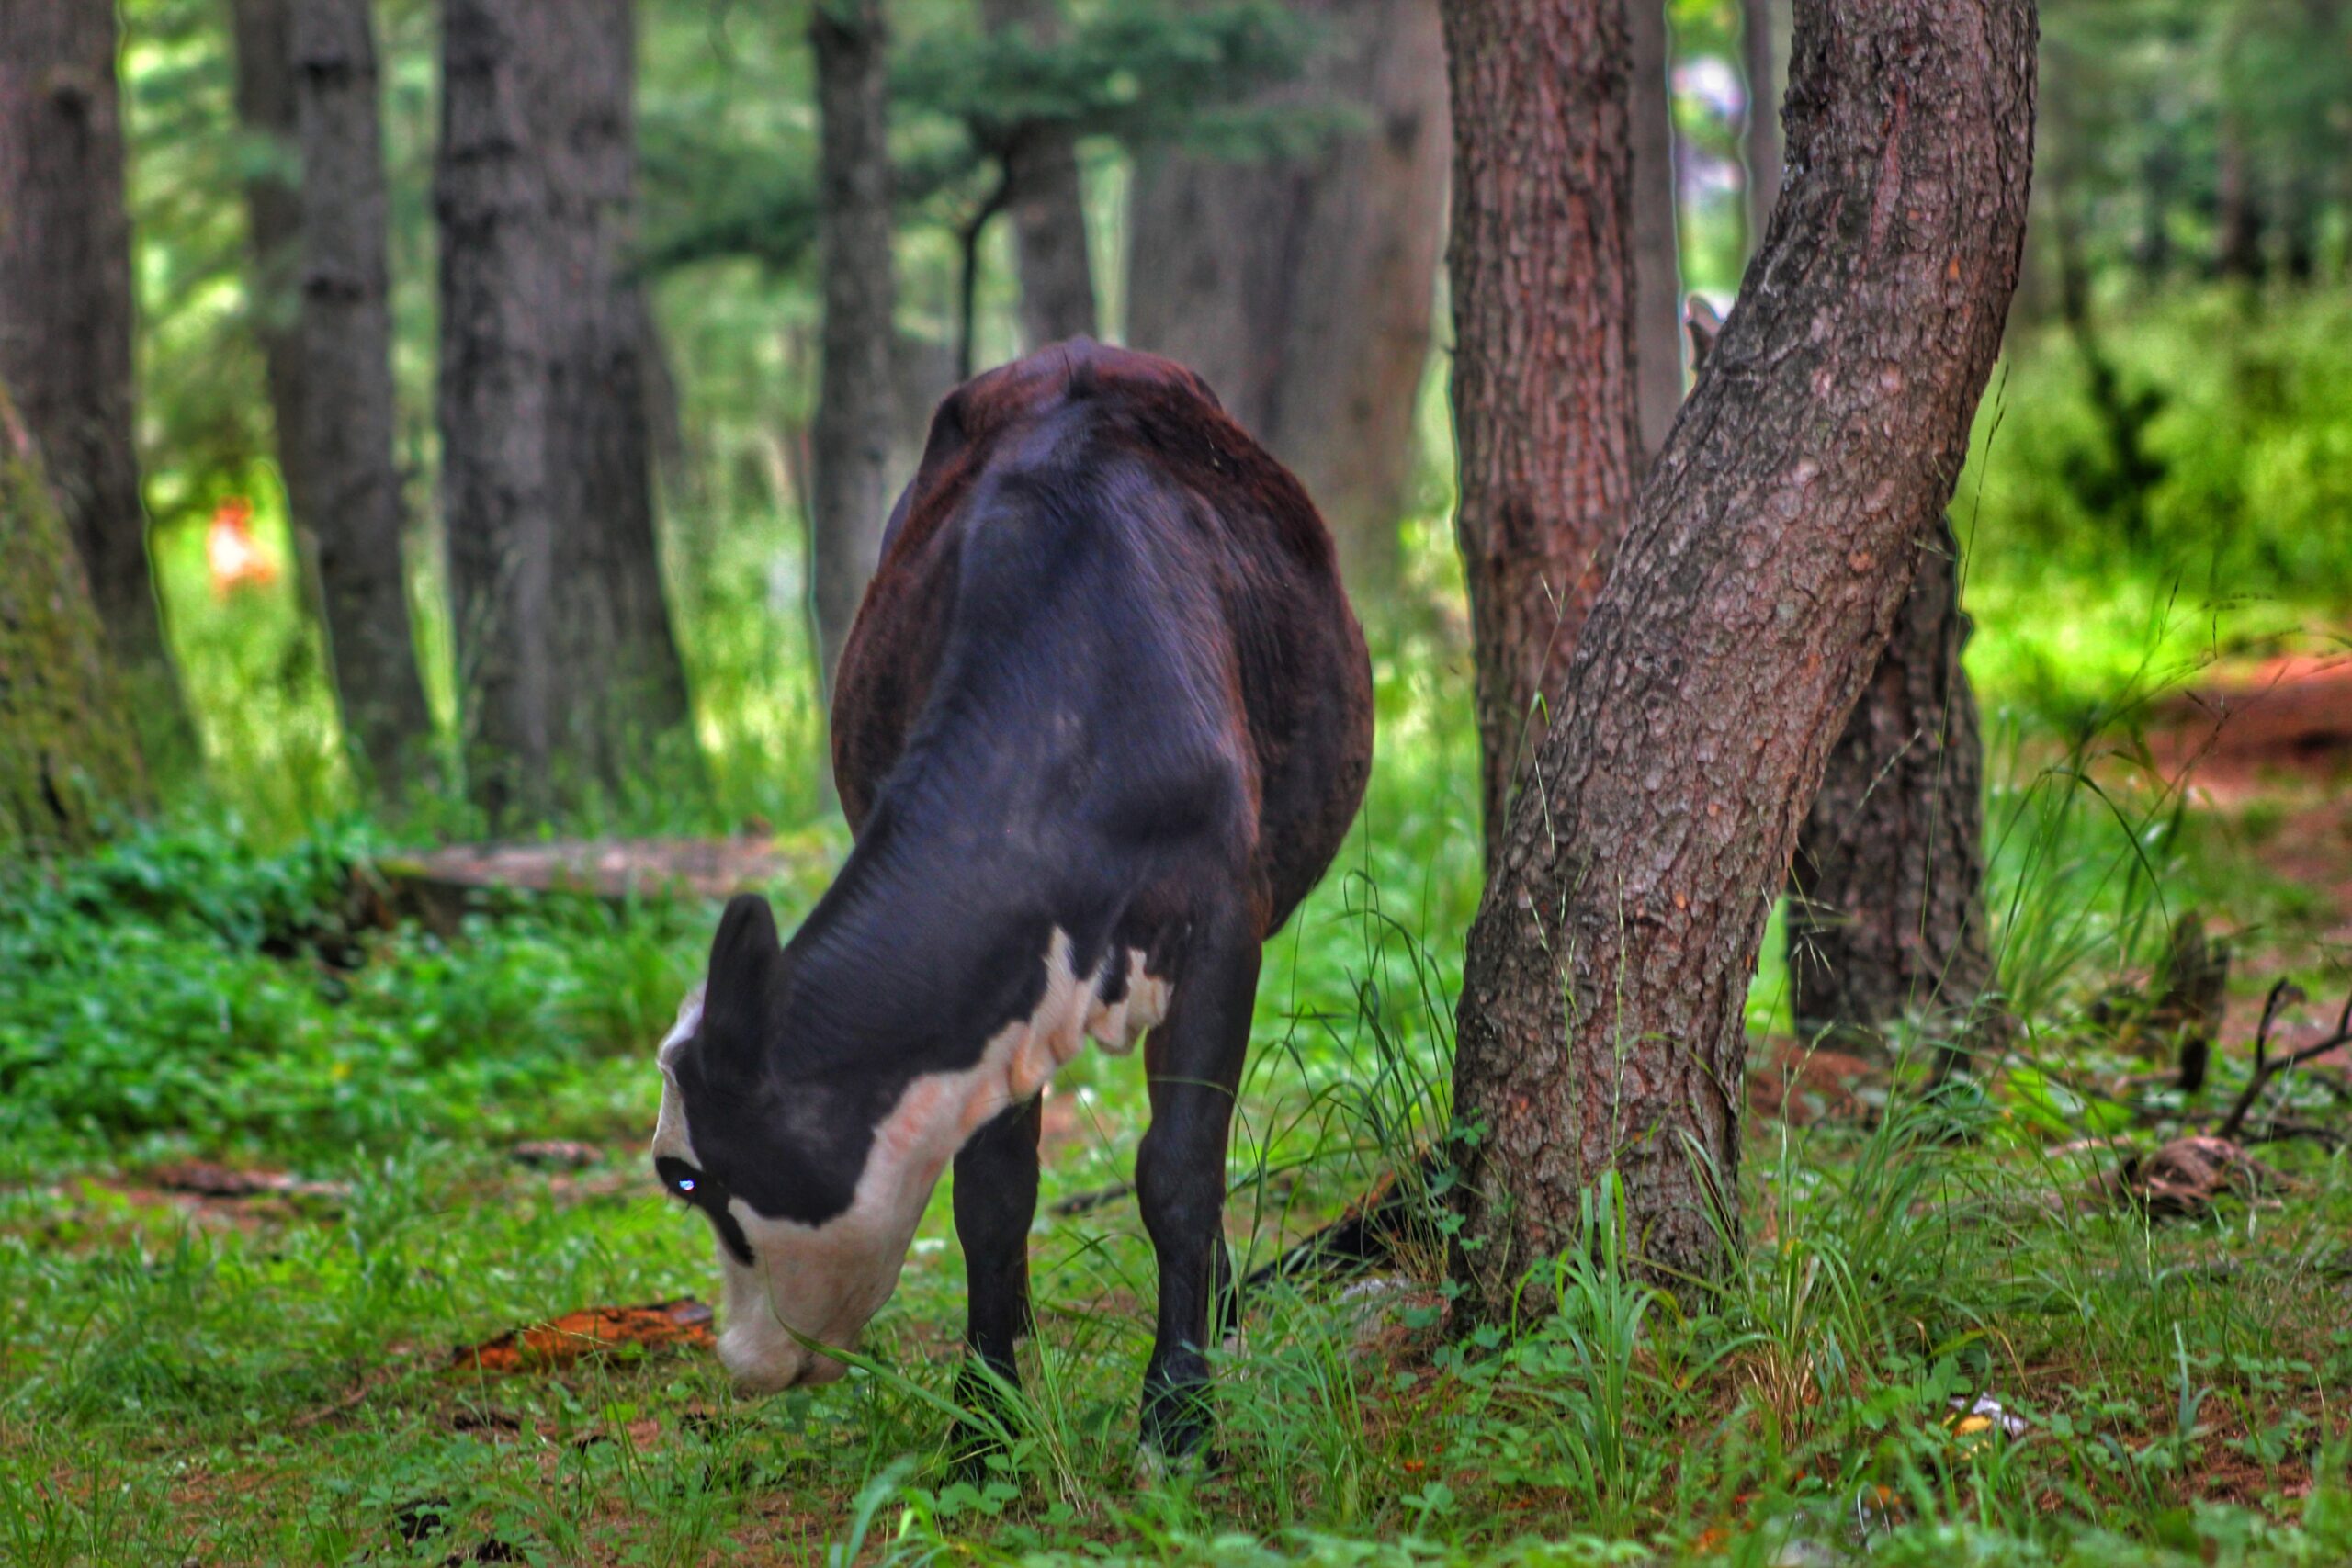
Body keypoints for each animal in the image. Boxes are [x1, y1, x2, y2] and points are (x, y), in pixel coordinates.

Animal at [649, 338, 1374, 1457]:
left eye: (681, 1174)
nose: (738, 1364)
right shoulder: (995, 996)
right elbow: (991, 1193)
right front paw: (984, 1418)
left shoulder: (1222, 931)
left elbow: (1177, 1169)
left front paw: (1177, 1413)